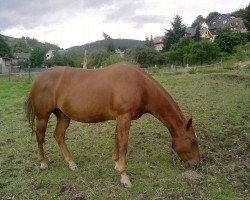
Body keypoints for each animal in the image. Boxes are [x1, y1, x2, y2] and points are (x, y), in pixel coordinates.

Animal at [25, 61, 200, 188]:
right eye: (193, 141)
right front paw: (124, 177)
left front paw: (116, 164)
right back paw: (43, 163)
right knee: (40, 137)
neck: (140, 85)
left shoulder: (120, 118)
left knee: (59, 136)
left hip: (63, 116)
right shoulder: (124, 117)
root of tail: (37, 79)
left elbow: (117, 140)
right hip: (43, 116)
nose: (196, 164)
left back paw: (72, 164)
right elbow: (123, 145)